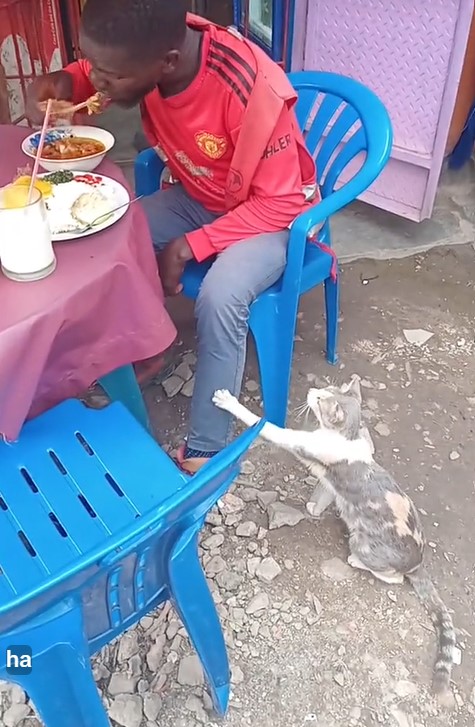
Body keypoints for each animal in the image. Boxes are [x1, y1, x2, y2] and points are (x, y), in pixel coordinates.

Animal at [213, 382, 458, 704]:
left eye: (320, 400)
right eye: (327, 389)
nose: (312, 389)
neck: (349, 436)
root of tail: (419, 562)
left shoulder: (302, 442)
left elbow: (264, 425)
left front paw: (229, 402)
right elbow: (324, 491)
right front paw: (315, 506)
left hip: (363, 543)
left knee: (391, 576)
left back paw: (358, 561)